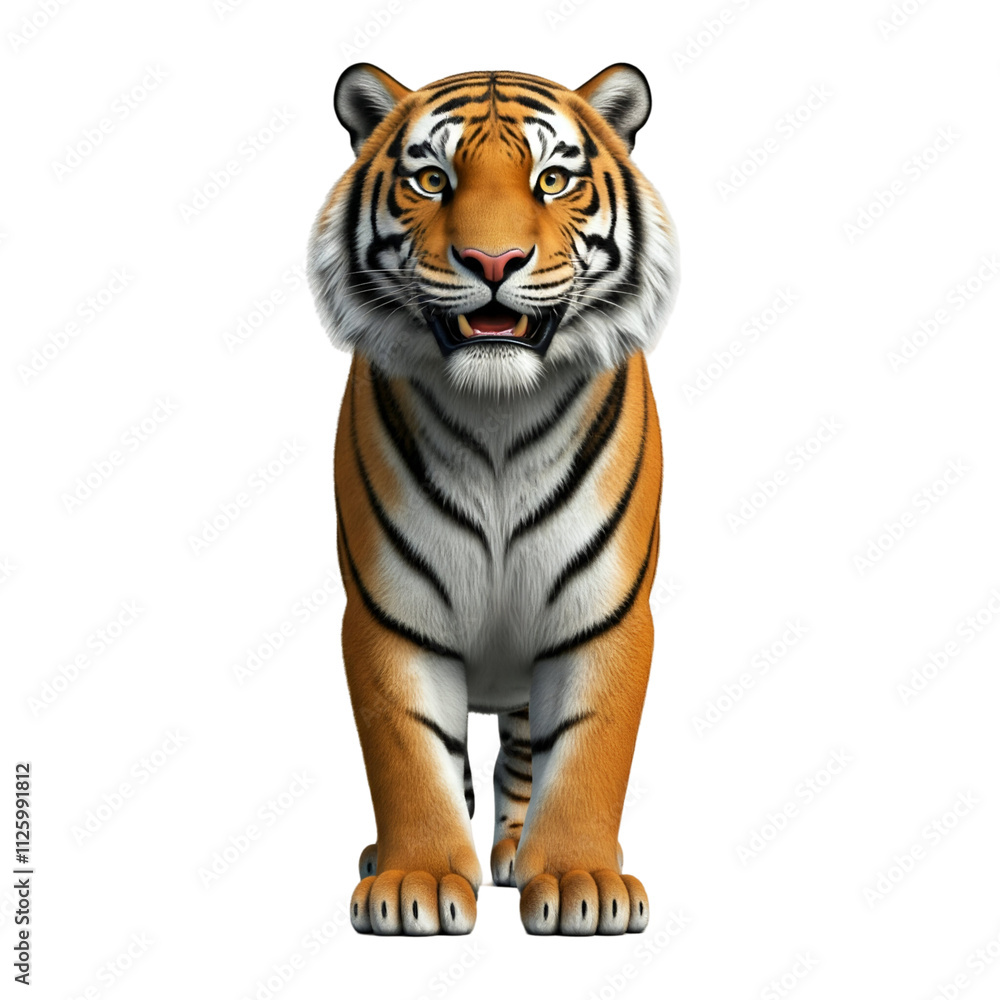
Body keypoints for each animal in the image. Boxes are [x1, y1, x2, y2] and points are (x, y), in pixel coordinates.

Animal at [307, 62, 679, 936]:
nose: (493, 258)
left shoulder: (607, 612)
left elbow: (586, 752)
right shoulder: (388, 612)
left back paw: (515, 853)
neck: (497, 417)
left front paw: (581, 882)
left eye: (553, 181)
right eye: (432, 180)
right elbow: (410, 755)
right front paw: (414, 879)